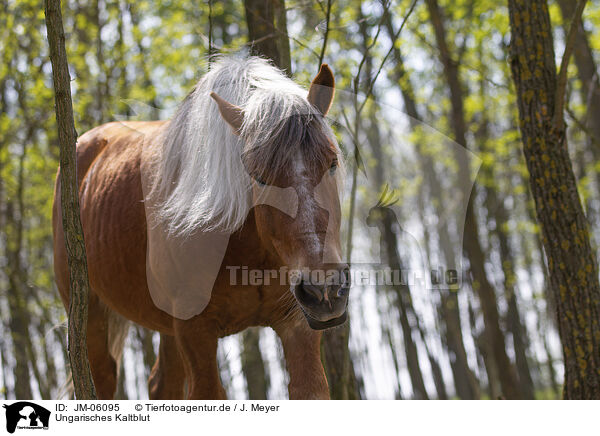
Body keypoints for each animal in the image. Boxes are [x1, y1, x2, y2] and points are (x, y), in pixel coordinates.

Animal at [55, 56, 352, 400]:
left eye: (332, 163)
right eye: (260, 178)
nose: (324, 290)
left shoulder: (298, 325)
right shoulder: (194, 332)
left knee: (162, 384)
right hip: (91, 316)